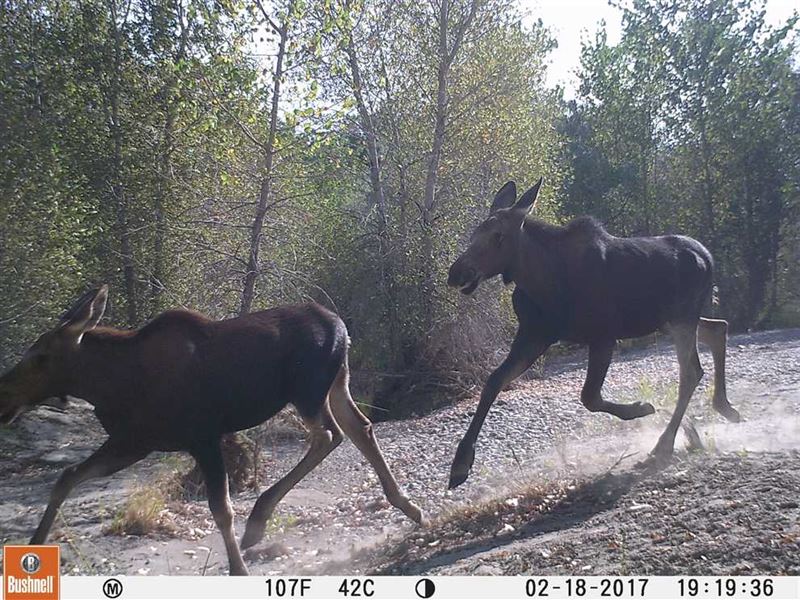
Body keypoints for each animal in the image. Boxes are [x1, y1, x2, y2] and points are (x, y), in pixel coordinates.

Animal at [0, 288, 424, 576]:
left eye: (40, 357)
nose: (4, 398)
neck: (110, 385)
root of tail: (342, 327)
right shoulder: (133, 442)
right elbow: (67, 477)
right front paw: (34, 544)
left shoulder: (202, 436)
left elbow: (221, 508)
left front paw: (238, 569)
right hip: (336, 384)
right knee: (360, 427)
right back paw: (408, 505)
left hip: (307, 393)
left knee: (329, 436)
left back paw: (259, 519)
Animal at [446, 177, 740, 488]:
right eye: (474, 234)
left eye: (498, 236)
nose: (457, 273)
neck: (543, 283)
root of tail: (708, 257)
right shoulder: (534, 335)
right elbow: (493, 381)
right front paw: (460, 463)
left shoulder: (603, 335)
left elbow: (589, 396)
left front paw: (641, 408)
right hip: (673, 320)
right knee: (718, 329)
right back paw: (723, 408)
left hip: (682, 318)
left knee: (691, 370)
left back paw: (665, 443)